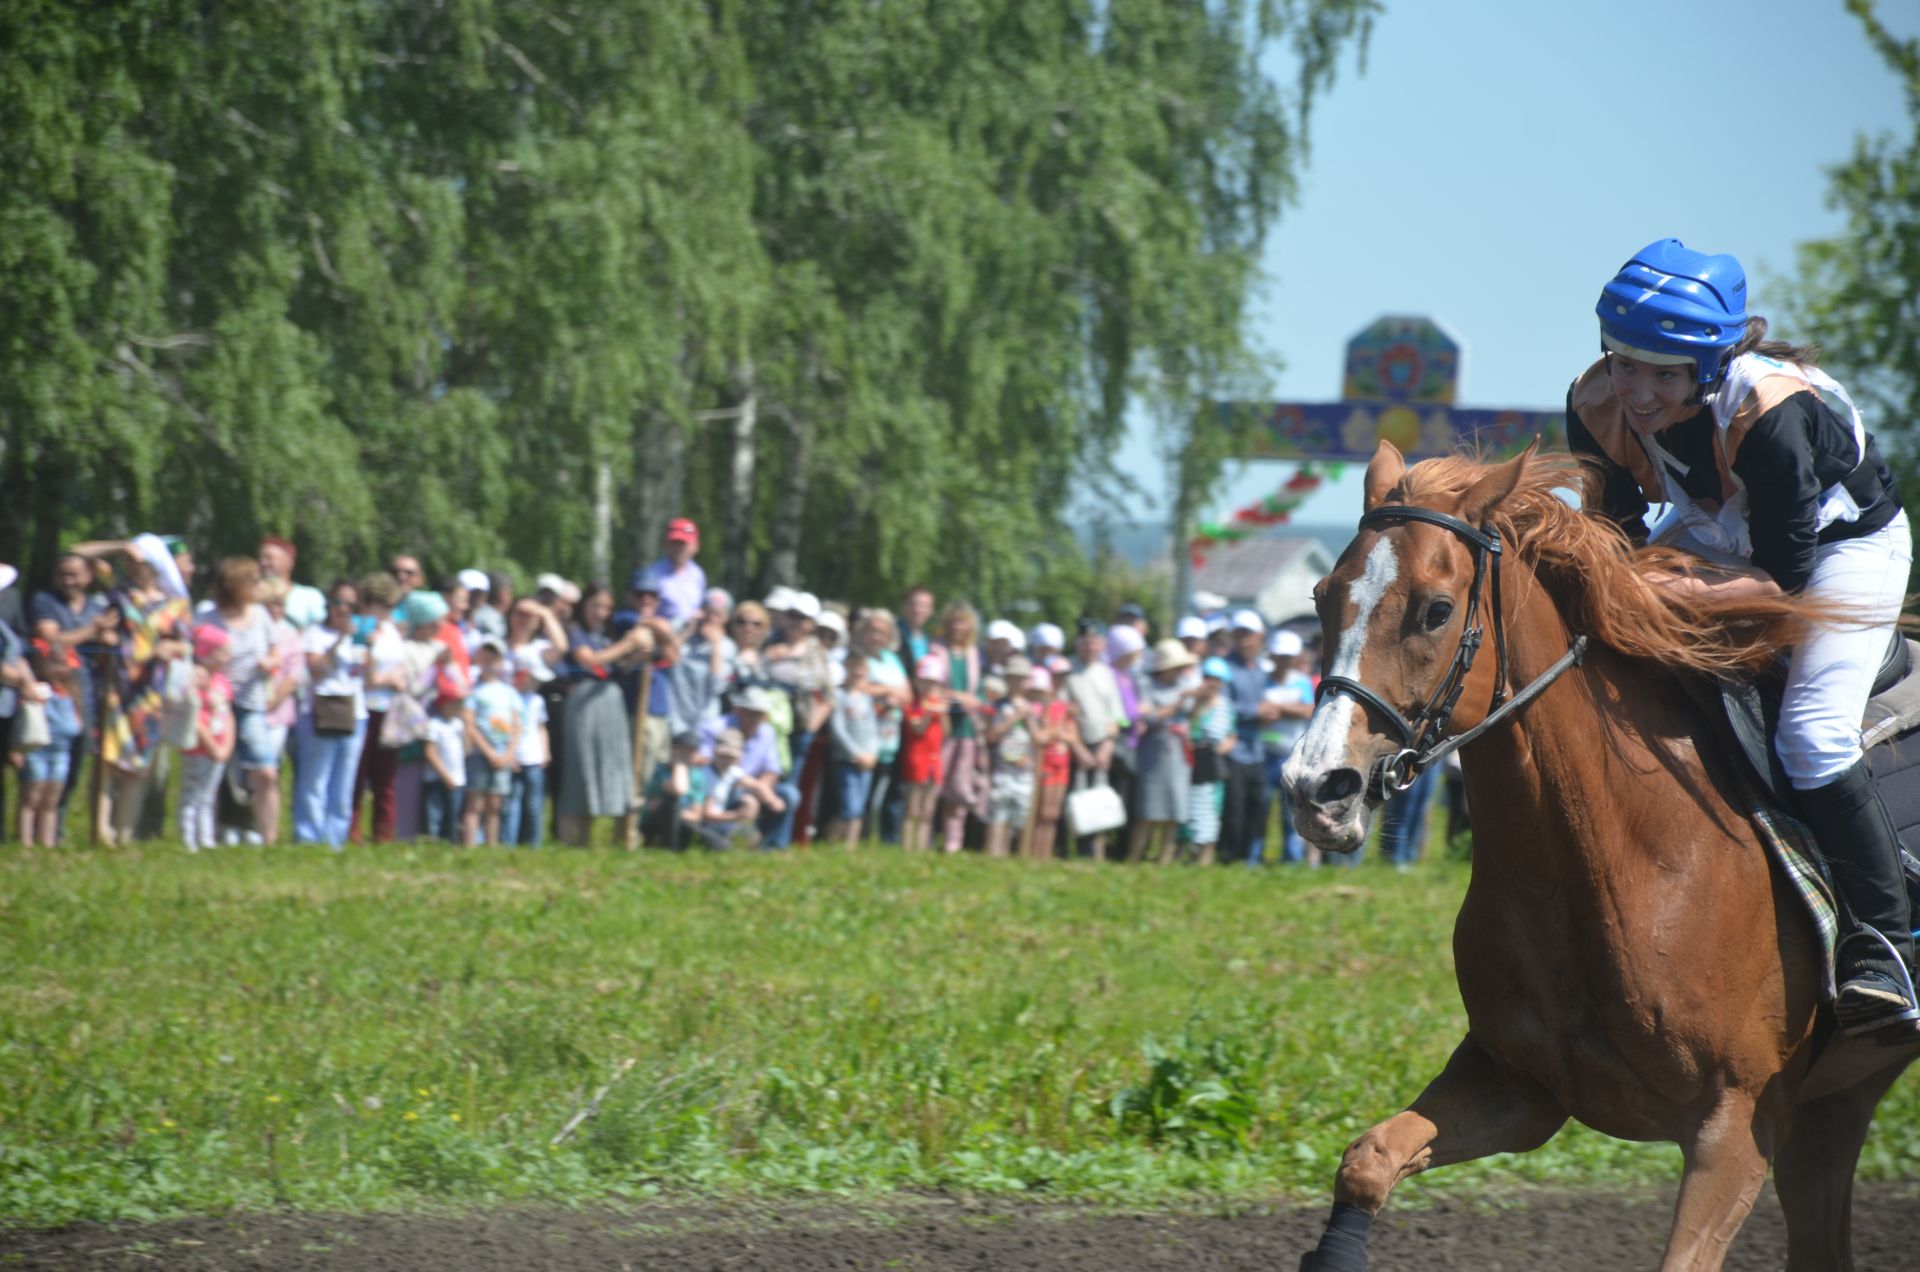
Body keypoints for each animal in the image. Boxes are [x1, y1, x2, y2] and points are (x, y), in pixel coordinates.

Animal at [1282, 441, 1920, 1272]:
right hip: (1839, 1102)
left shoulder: (1737, 1125)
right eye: (1324, 596)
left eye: (1434, 609)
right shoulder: (1518, 1085)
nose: (1314, 788)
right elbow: (1368, 1162)